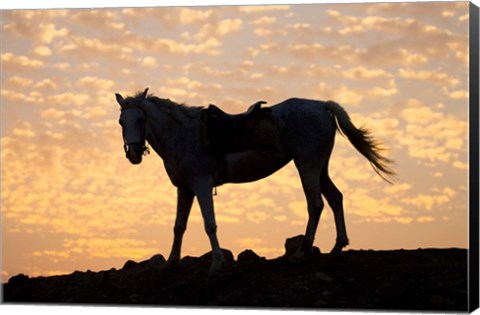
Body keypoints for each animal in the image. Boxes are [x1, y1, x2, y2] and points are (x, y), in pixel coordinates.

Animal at [114, 87, 396, 276]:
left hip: (307, 164)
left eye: (140, 118)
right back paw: (338, 246)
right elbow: (178, 226)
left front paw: (216, 265)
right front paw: (171, 263)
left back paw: (301, 253)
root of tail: (322, 106)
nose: (133, 154)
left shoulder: (202, 185)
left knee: (315, 204)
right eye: (121, 121)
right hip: (320, 167)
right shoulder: (185, 189)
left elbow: (209, 225)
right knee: (336, 198)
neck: (181, 133)